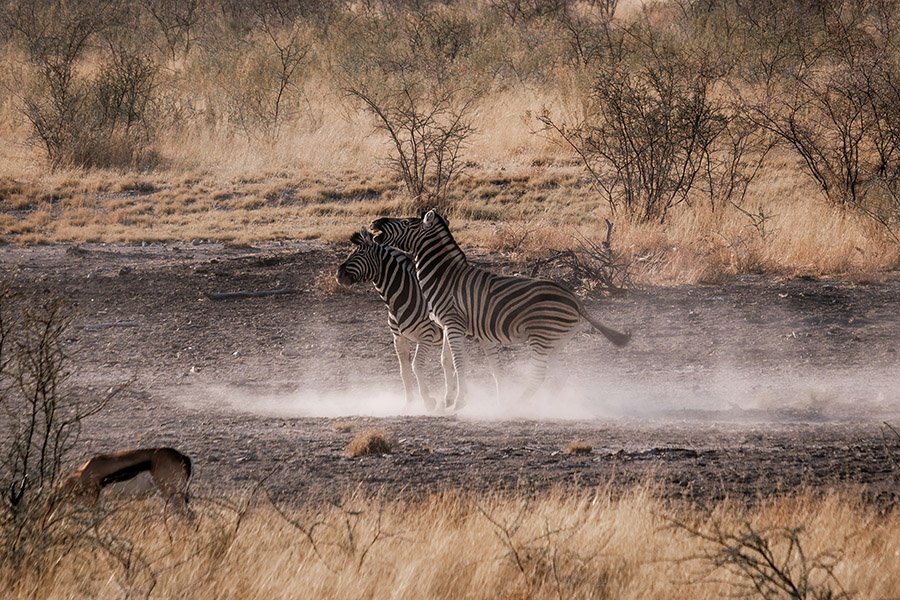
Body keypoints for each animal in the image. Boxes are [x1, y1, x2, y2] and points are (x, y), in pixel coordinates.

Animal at [336, 229, 452, 411]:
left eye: (359, 253)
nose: (338, 275)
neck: (397, 300)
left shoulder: (426, 335)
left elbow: (417, 366)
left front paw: (428, 401)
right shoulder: (399, 338)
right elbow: (404, 371)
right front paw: (409, 403)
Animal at [370, 210, 630, 410]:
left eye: (406, 222)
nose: (375, 222)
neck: (445, 276)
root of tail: (575, 300)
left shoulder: (453, 323)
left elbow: (458, 362)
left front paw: (460, 401)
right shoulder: (446, 324)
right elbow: (447, 362)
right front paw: (448, 399)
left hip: (540, 337)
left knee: (539, 375)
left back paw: (516, 405)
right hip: (554, 342)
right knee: (558, 377)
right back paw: (551, 407)